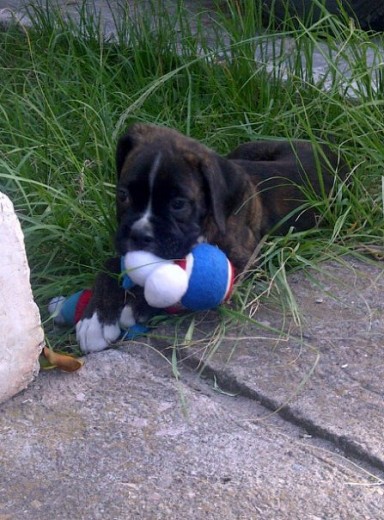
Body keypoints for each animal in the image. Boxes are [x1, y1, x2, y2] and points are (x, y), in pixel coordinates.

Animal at [77, 123, 344, 352]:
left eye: (178, 204)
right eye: (123, 195)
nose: (139, 235)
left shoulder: (244, 262)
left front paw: (136, 304)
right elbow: (109, 266)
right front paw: (95, 319)